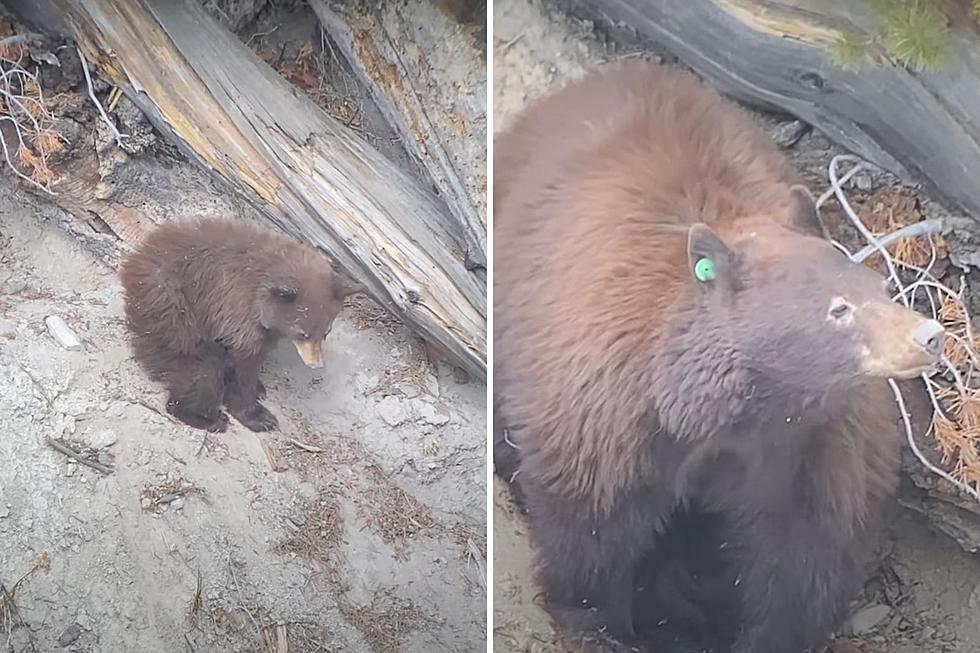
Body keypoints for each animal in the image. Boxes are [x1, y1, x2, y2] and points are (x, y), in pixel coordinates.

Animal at [118, 218, 356, 432]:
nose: (317, 364)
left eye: (326, 332)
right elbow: (245, 363)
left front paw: (255, 388)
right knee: (201, 369)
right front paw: (259, 416)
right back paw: (208, 417)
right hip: (174, 315)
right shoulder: (239, 309)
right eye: (302, 333)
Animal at [494, 61, 944, 652]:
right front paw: (599, 621)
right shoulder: (609, 416)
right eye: (839, 309)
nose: (929, 336)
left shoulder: (809, 450)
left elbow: (798, 557)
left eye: (881, 287)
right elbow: (592, 522)